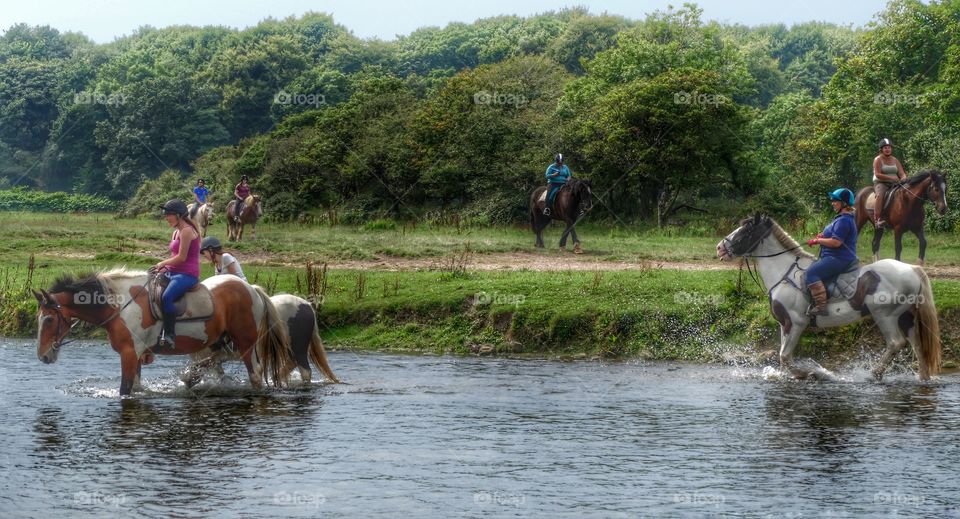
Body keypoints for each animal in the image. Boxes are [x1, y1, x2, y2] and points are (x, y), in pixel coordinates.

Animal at [33, 270, 292, 396]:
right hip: (218, 341)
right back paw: (191, 377)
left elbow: (125, 389)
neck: (119, 305)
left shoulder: (129, 353)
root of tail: (251, 289)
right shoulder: (135, 355)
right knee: (218, 359)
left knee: (255, 375)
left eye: (49, 319)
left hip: (246, 343)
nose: (43, 356)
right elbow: (137, 387)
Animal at [716, 215, 940, 382]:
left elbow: (785, 357)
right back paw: (922, 378)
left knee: (895, 343)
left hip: (885, 315)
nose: (719, 248)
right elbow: (782, 357)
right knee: (918, 346)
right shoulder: (784, 324)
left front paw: (811, 373)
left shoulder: (795, 323)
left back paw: (873, 374)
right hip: (906, 316)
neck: (784, 273)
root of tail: (912, 268)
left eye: (745, 231)